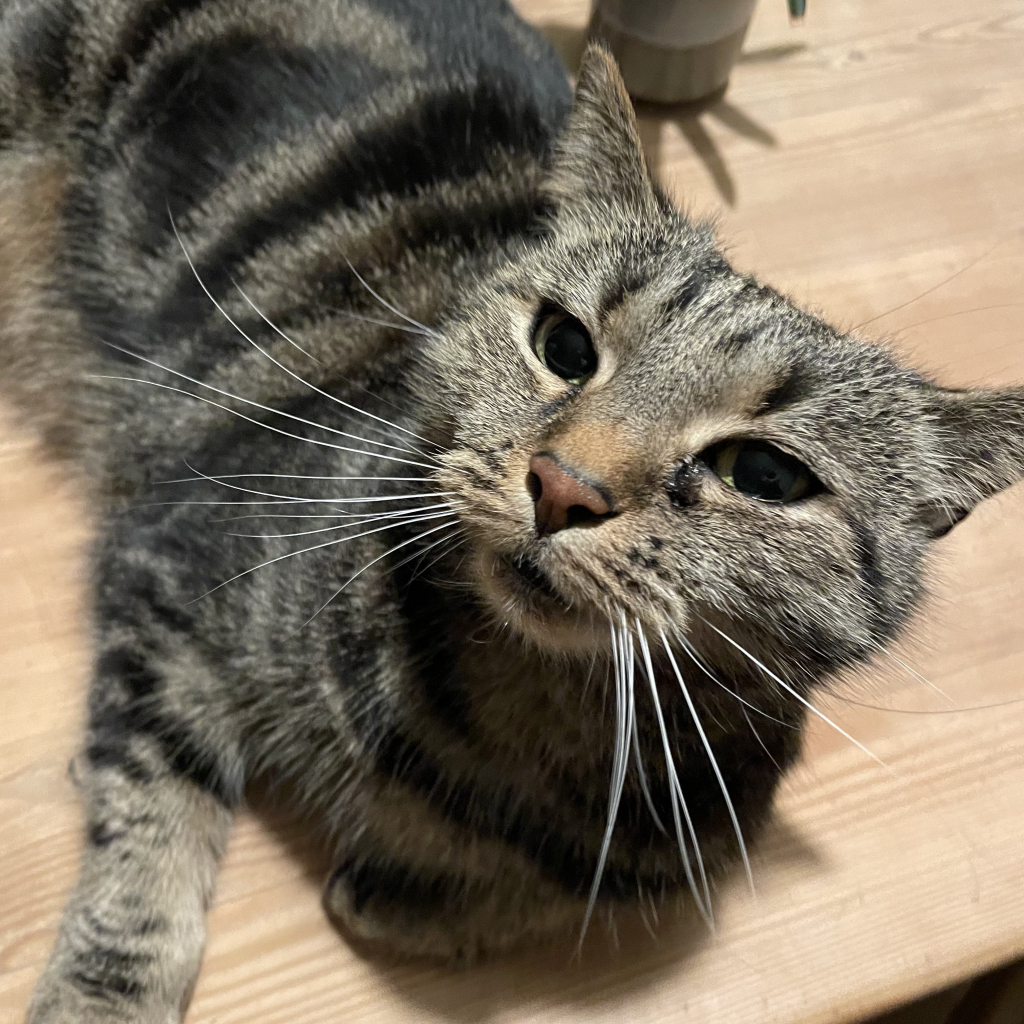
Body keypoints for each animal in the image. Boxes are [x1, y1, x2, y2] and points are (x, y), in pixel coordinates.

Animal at [0, 2, 1019, 1024]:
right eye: (564, 345)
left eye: (764, 475)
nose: (565, 484)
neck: (514, 714)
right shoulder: (172, 565)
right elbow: (149, 845)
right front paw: (102, 996)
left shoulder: (687, 842)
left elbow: (555, 889)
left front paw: (406, 899)